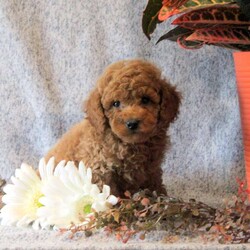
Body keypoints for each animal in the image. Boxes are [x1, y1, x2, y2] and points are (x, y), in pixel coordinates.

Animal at [46, 59, 181, 196]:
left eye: (145, 99)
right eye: (115, 103)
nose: (132, 123)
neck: (131, 145)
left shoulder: (152, 168)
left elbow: (155, 182)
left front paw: (161, 194)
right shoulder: (99, 169)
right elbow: (107, 192)